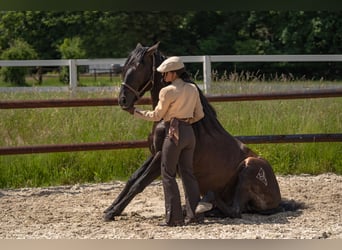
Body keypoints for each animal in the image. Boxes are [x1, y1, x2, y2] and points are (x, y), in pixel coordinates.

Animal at [103, 42, 300, 221]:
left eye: (138, 67)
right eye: (124, 67)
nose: (123, 100)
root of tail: (278, 199)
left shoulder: (162, 156)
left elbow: (139, 184)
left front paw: (112, 213)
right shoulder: (155, 152)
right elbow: (133, 178)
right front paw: (110, 208)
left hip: (250, 167)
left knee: (235, 210)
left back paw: (205, 202)